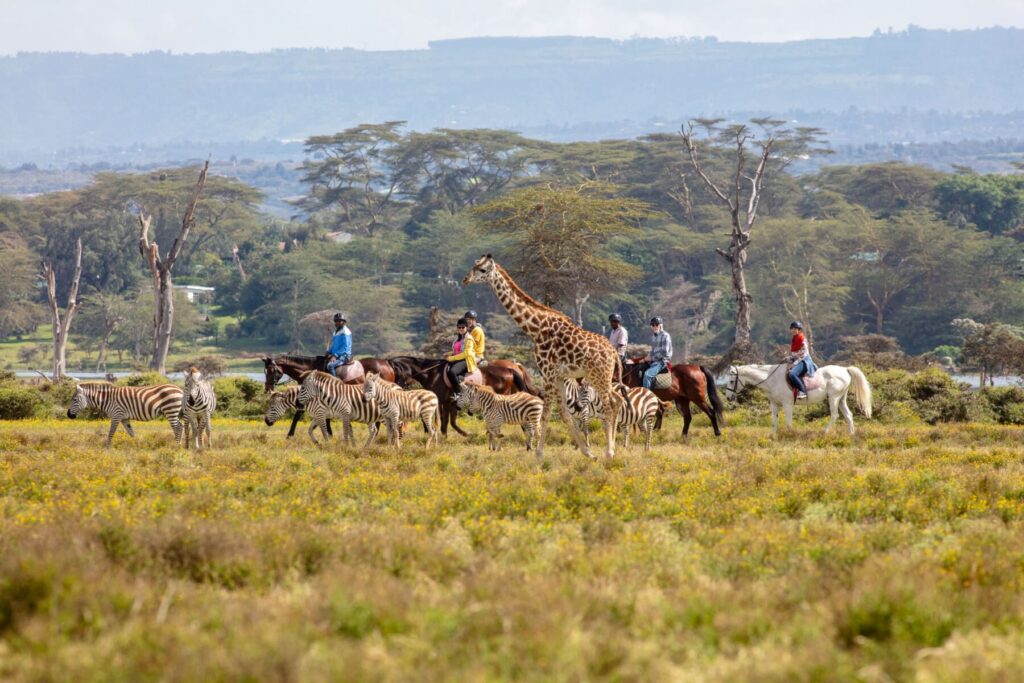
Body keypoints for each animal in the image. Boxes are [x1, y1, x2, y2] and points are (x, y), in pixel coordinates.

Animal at [261, 354, 399, 437]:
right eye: (264, 371)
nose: (268, 388)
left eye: (272, 370)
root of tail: (387, 363)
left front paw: (290, 435)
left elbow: (298, 415)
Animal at [387, 356, 541, 439]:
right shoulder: (449, 402)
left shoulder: (443, 401)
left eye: (397, 373)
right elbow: (450, 421)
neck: (432, 373)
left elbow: (443, 420)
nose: (396, 387)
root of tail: (510, 369)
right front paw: (446, 435)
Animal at [725, 363, 872, 435]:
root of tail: (845, 369)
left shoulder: (787, 404)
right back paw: (851, 434)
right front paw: (773, 436)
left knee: (835, 415)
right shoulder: (774, 404)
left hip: (834, 398)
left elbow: (789, 423)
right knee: (848, 415)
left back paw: (824, 432)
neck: (771, 378)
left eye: (731, 381)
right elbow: (774, 422)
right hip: (841, 399)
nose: (728, 397)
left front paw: (790, 435)